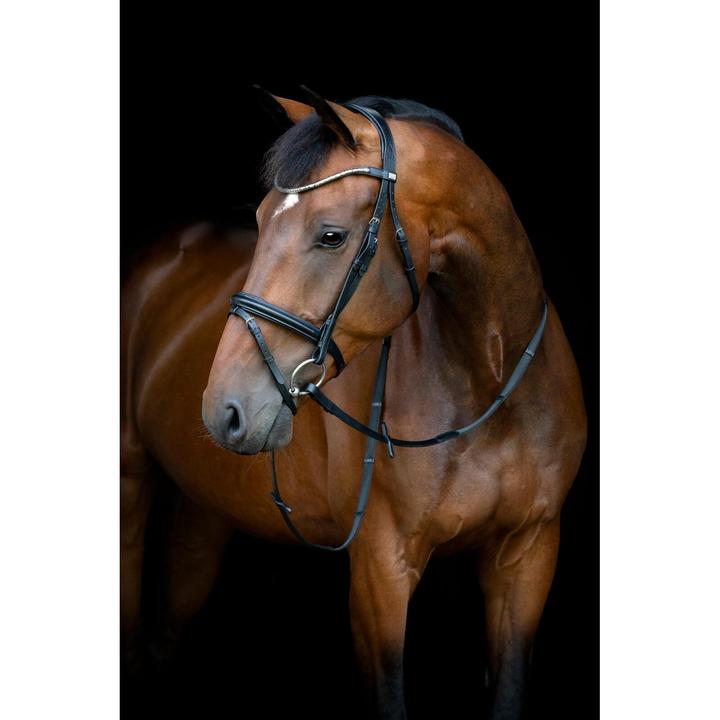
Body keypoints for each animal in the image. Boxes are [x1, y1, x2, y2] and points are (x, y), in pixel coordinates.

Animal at [121, 91, 587, 719]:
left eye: (332, 236)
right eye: (260, 221)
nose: (225, 409)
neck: (489, 386)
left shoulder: (528, 557)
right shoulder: (379, 571)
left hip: (205, 508)